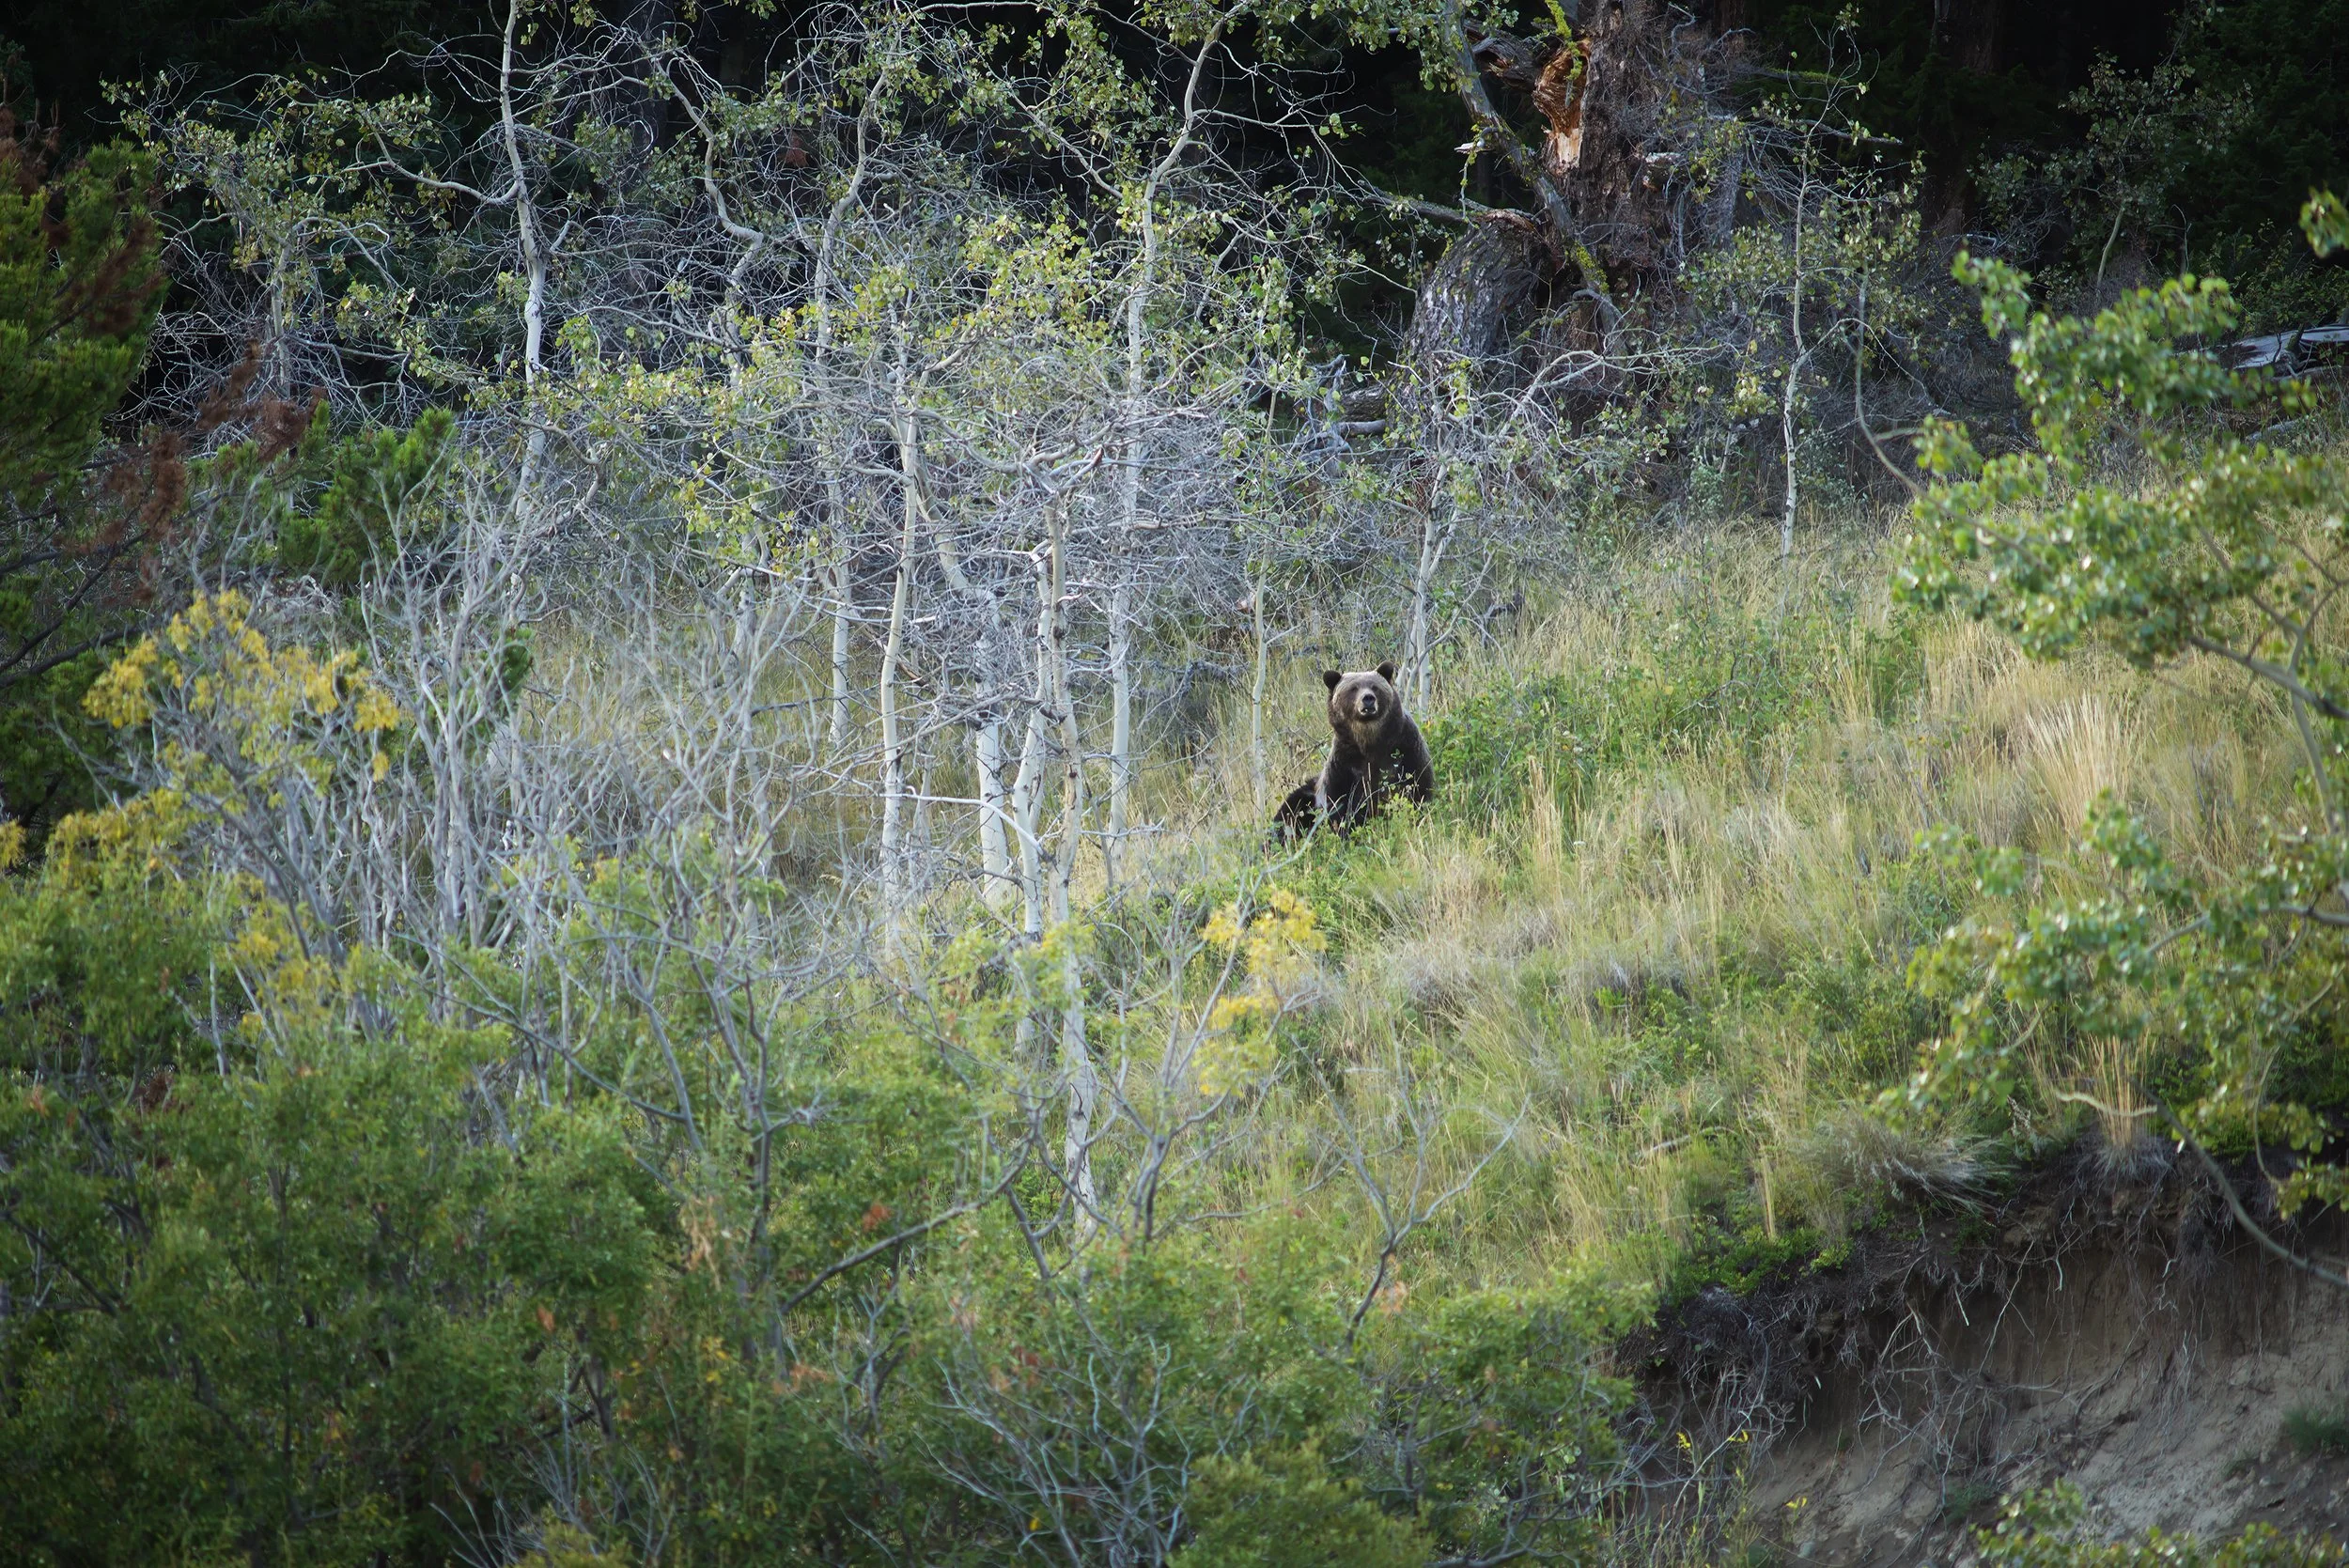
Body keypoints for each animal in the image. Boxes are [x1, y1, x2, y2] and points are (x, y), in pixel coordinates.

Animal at [1274, 662, 1433, 838]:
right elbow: (1338, 807)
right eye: (1353, 688)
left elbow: (1418, 786)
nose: (1368, 698)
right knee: (1287, 816)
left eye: (1375, 686)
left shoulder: (1406, 748)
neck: (1370, 742)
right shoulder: (1344, 765)